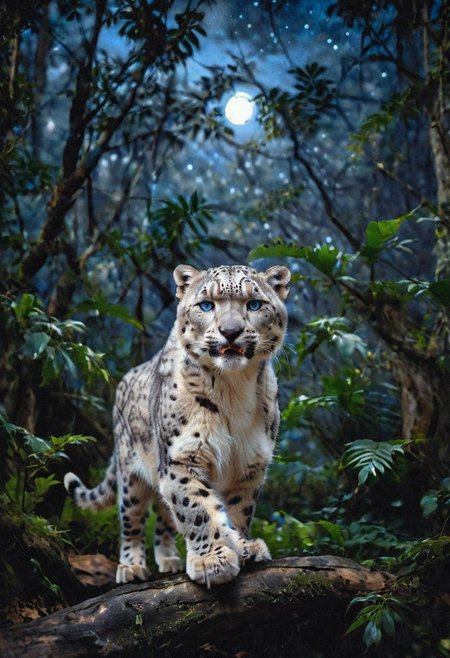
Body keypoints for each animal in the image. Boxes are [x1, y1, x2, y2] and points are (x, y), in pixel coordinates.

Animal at [64, 263, 290, 588]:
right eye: (206, 305)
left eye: (254, 304)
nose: (230, 332)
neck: (233, 391)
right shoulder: (181, 458)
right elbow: (196, 509)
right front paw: (212, 561)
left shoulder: (250, 465)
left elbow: (237, 510)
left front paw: (244, 546)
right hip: (131, 477)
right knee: (132, 520)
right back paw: (131, 567)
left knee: (164, 515)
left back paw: (169, 559)